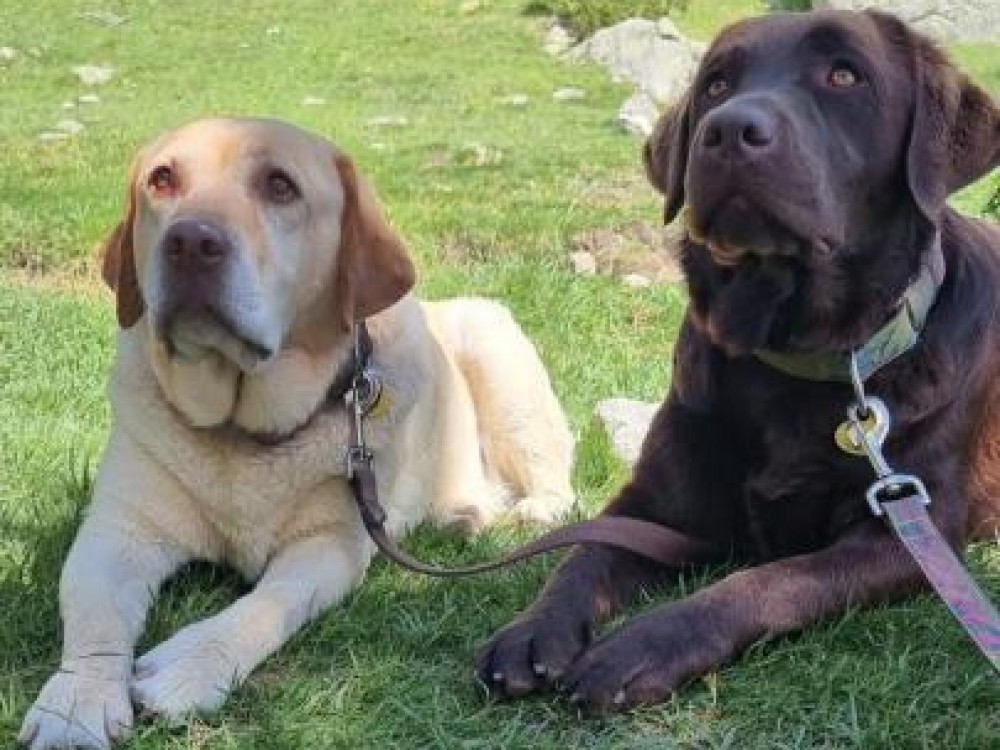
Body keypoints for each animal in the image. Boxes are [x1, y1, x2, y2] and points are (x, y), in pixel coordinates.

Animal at [19, 118, 575, 749]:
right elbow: (93, 615)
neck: (240, 426)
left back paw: (521, 514)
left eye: (280, 186)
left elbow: (267, 603)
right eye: (162, 179)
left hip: (494, 348)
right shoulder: (118, 530)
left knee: (557, 485)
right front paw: (76, 702)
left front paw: (192, 664)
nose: (189, 243)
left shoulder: (331, 544)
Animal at [477, 9, 1000, 712]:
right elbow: (580, 556)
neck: (791, 356)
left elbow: (768, 581)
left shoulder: (906, 533)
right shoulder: (650, 508)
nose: (728, 130)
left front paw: (643, 647)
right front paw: (533, 629)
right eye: (717, 85)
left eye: (844, 75)